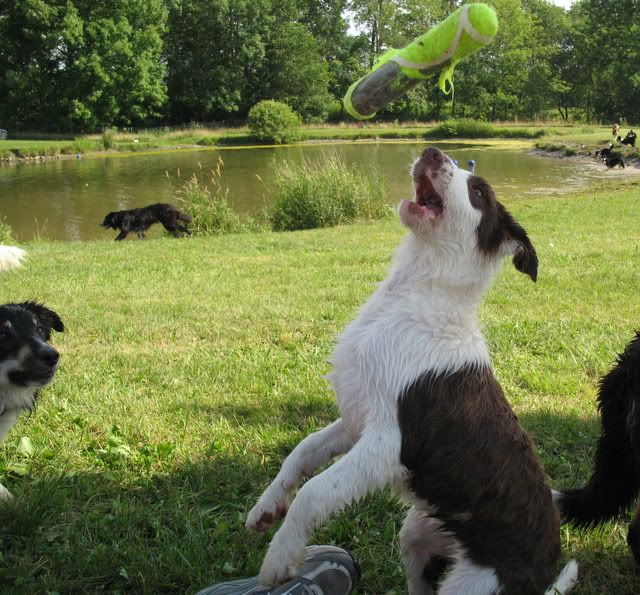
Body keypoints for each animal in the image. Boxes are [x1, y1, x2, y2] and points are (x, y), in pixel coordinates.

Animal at [244, 147, 576, 592]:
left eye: (478, 191)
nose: (432, 152)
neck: (415, 295)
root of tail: (544, 576)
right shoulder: (358, 418)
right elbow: (303, 451)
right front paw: (267, 506)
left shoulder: (386, 442)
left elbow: (317, 490)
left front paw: (280, 557)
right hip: (417, 534)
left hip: (472, 582)